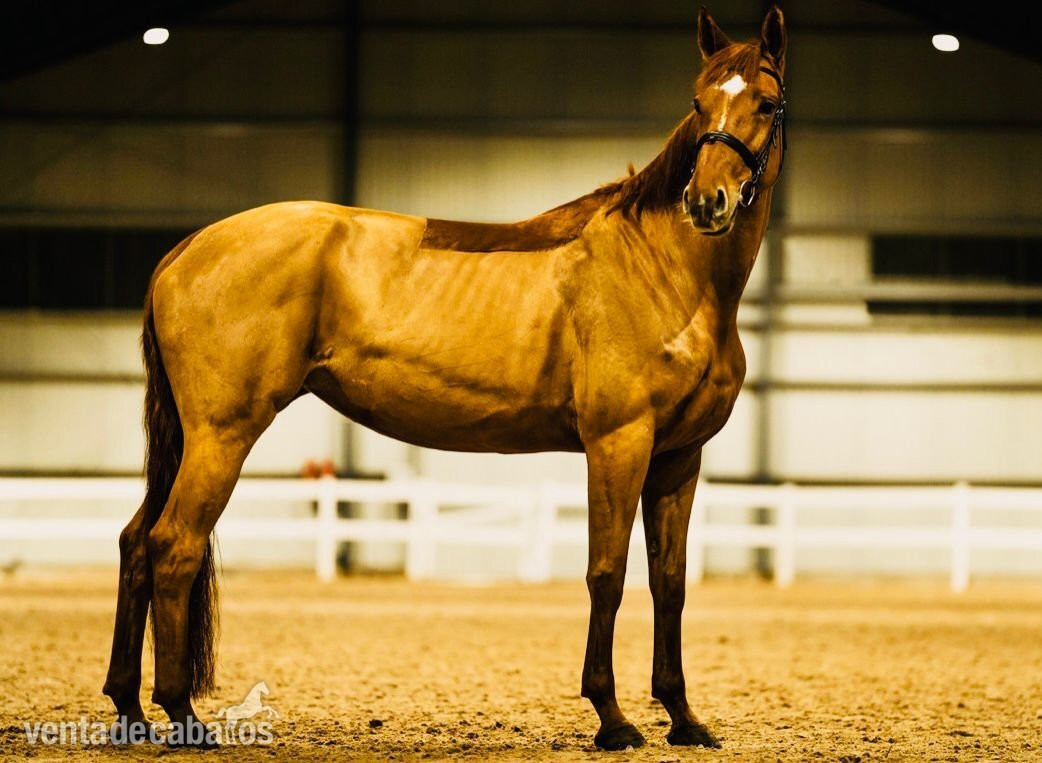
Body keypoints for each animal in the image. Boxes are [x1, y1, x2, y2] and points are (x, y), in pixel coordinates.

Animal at [102, 5, 787, 751]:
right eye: (698, 103)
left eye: (766, 102)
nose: (708, 202)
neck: (666, 270)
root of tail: (187, 247)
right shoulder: (618, 444)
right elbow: (607, 573)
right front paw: (613, 719)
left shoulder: (677, 457)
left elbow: (671, 582)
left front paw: (684, 717)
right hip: (221, 435)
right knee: (174, 546)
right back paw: (182, 714)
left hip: (190, 440)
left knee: (136, 541)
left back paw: (130, 708)